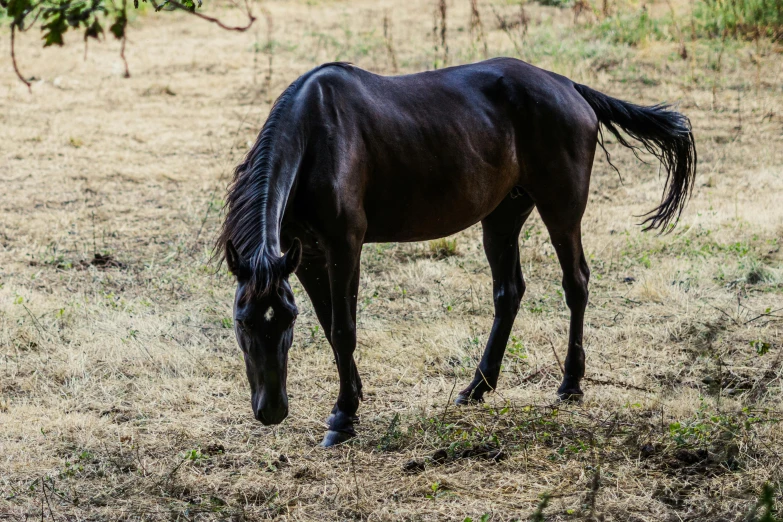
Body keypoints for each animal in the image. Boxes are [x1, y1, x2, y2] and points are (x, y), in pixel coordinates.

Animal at [216, 58, 700, 446]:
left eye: (282, 324)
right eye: (243, 322)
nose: (272, 410)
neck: (315, 134)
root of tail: (569, 86)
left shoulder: (344, 245)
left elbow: (343, 329)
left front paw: (343, 418)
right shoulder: (308, 257)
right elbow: (329, 324)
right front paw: (351, 398)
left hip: (560, 209)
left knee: (575, 283)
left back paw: (570, 384)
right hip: (503, 216)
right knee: (509, 293)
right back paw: (478, 386)